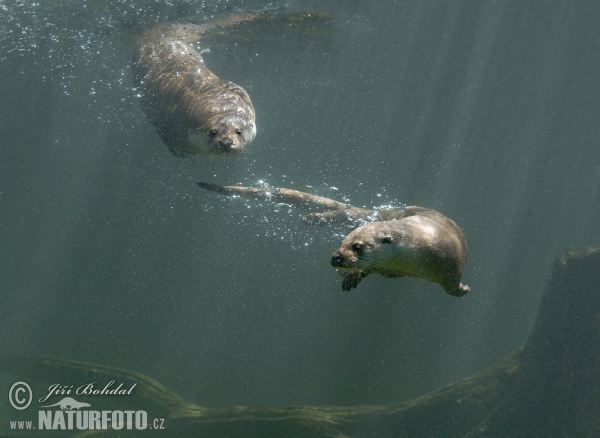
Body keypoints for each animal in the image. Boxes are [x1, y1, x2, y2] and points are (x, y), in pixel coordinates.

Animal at [330, 206, 472, 296]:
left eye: (357, 247)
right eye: (341, 243)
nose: (336, 257)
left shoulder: (453, 264)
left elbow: (452, 288)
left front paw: (463, 289)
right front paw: (353, 275)